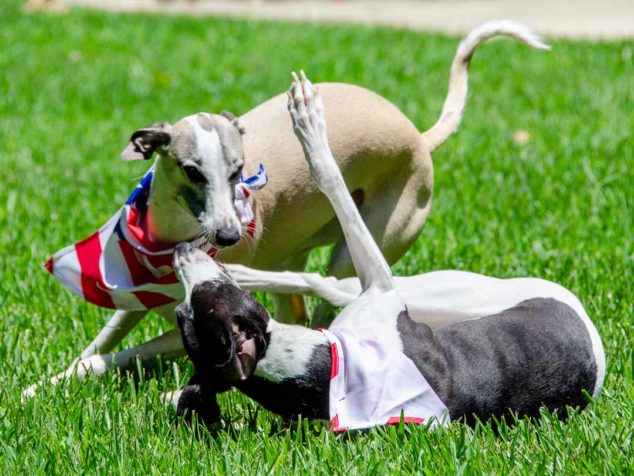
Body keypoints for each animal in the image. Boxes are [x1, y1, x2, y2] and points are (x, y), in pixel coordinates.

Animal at [25, 20, 548, 396]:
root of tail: (420, 137)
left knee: (330, 296)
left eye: (239, 171)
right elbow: (100, 344)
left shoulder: (191, 327)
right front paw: (42, 386)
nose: (230, 237)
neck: (167, 243)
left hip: (361, 249)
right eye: (193, 171)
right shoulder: (132, 293)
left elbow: (121, 354)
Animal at [168, 72, 604, 430]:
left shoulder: (378, 288)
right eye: (184, 314)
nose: (182, 253)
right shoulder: (379, 288)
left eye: (196, 303)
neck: (322, 371)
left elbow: (331, 179)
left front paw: (309, 122)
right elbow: (332, 184)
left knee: (325, 279)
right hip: (434, 288)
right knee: (325, 281)